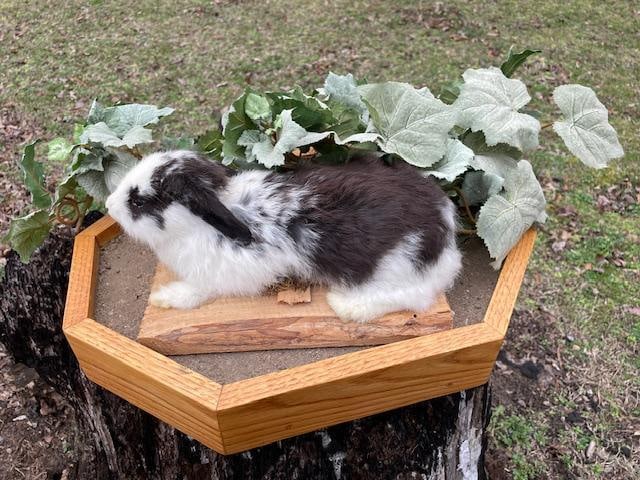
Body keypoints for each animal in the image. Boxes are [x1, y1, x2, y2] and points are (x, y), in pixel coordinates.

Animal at [105, 150, 462, 323]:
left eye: (138, 201)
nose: (109, 205)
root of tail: (444, 225)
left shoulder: (217, 278)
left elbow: (196, 293)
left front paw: (163, 298)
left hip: (393, 266)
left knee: (414, 297)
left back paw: (345, 306)